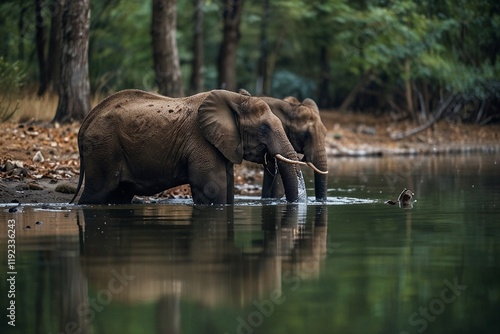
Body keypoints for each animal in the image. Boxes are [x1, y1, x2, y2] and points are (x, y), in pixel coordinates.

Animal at [69, 88, 304, 205]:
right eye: (264, 128)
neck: (236, 99)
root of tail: (86, 122)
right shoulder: (201, 141)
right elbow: (212, 189)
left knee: (120, 195)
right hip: (103, 148)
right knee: (98, 193)